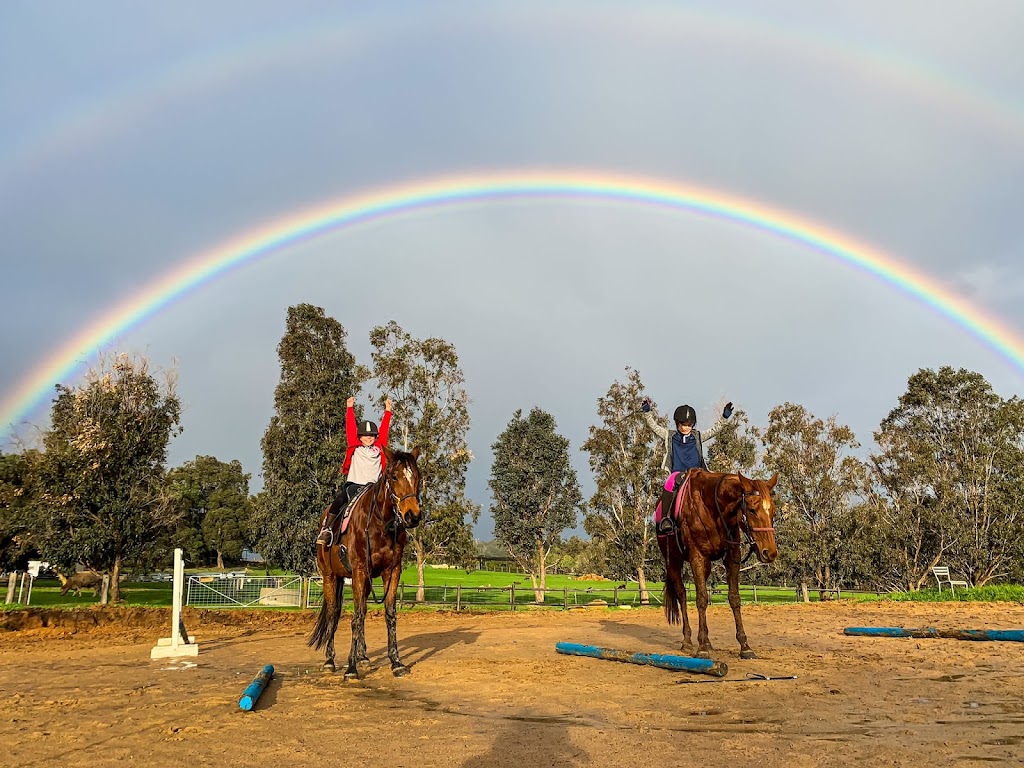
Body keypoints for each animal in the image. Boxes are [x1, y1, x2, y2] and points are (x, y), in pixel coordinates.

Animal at [311, 448, 423, 675]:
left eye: (417, 477)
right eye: (394, 476)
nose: (413, 516)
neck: (380, 524)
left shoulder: (392, 571)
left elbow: (389, 613)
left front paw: (396, 662)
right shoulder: (359, 570)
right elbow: (357, 616)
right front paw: (351, 667)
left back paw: (362, 656)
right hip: (330, 576)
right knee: (333, 613)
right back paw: (330, 660)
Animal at [659, 468, 778, 663]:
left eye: (773, 511)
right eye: (752, 510)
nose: (770, 553)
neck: (713, 509)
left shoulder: (732, 557)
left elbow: (734, 598)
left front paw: (745, 646)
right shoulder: (697, 557)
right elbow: (701, 599)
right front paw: (701, 649)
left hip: (706, 566)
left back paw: (707, 642)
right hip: (673, 562)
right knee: (682, 594)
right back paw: (688, 640)